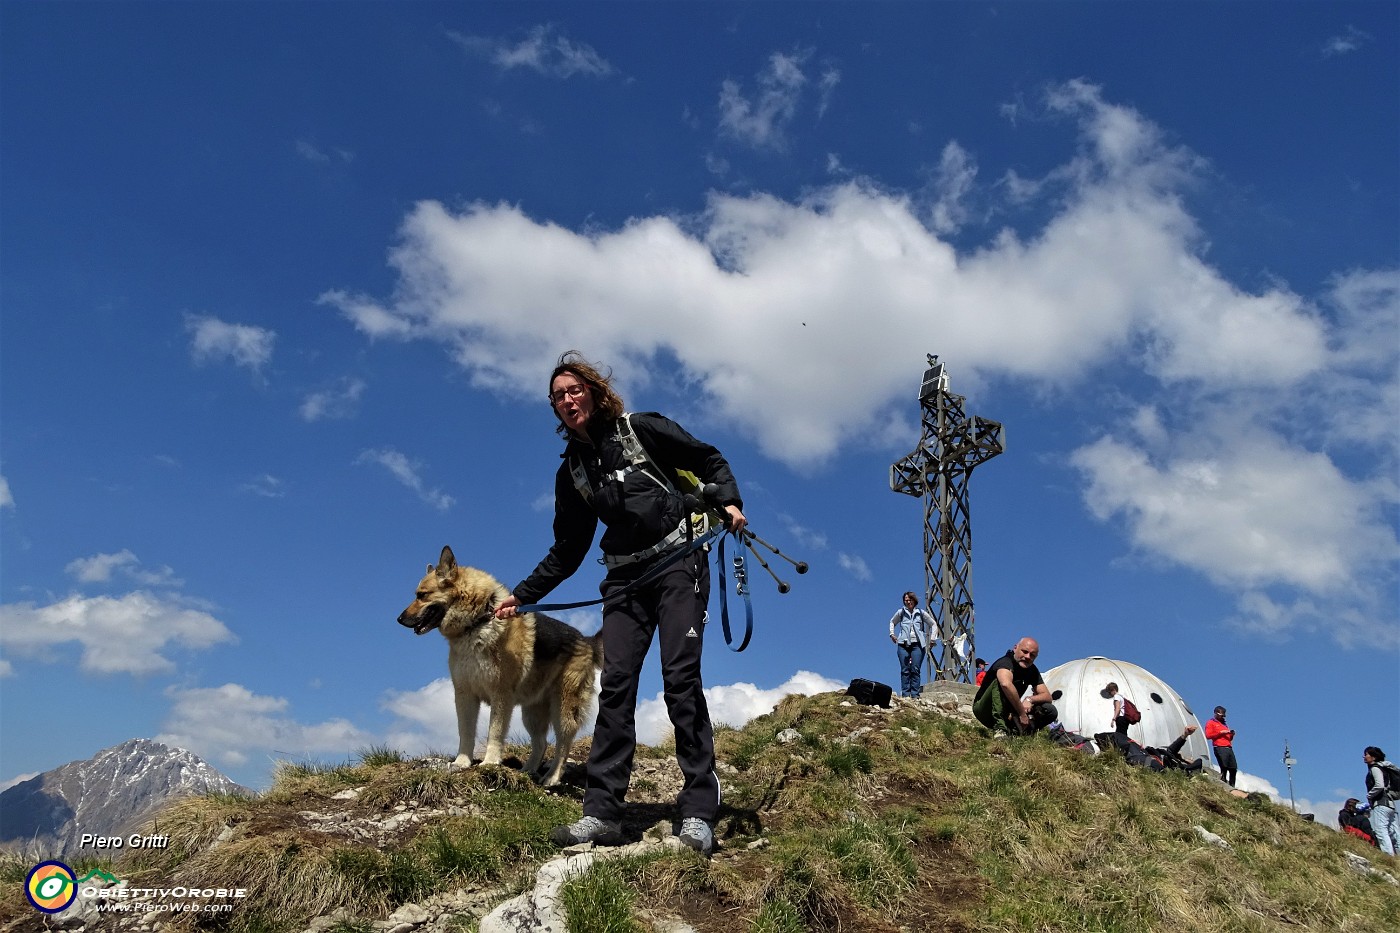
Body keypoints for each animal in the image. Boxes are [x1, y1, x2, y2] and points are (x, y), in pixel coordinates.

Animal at [400, 546, 607, 784]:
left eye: (421, 595)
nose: (399, 619)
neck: (478, 621)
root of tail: (587, 641)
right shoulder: (464, 695)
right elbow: (465, 731)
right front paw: (462, 762)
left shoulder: (501, 696)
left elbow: (495, 732)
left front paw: (490, 762)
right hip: (531, 713)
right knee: (541, 743)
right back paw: (527, 771)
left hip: (563, 710)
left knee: (563, 745)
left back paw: (552, 777)